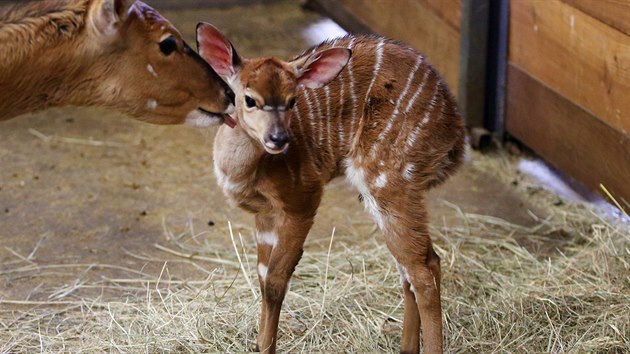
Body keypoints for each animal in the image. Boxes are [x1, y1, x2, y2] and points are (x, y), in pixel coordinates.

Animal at [199, 23, 470, 352]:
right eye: (248, 98)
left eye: (292, 100)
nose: (279, 138)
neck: (250, 171)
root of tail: (455, 134)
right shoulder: (264, 215)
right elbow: (262, 276)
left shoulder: (302, 201)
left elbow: (276, 281)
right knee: (421, 263)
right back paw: (406, 347)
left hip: (388, 182)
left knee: (421, 273)